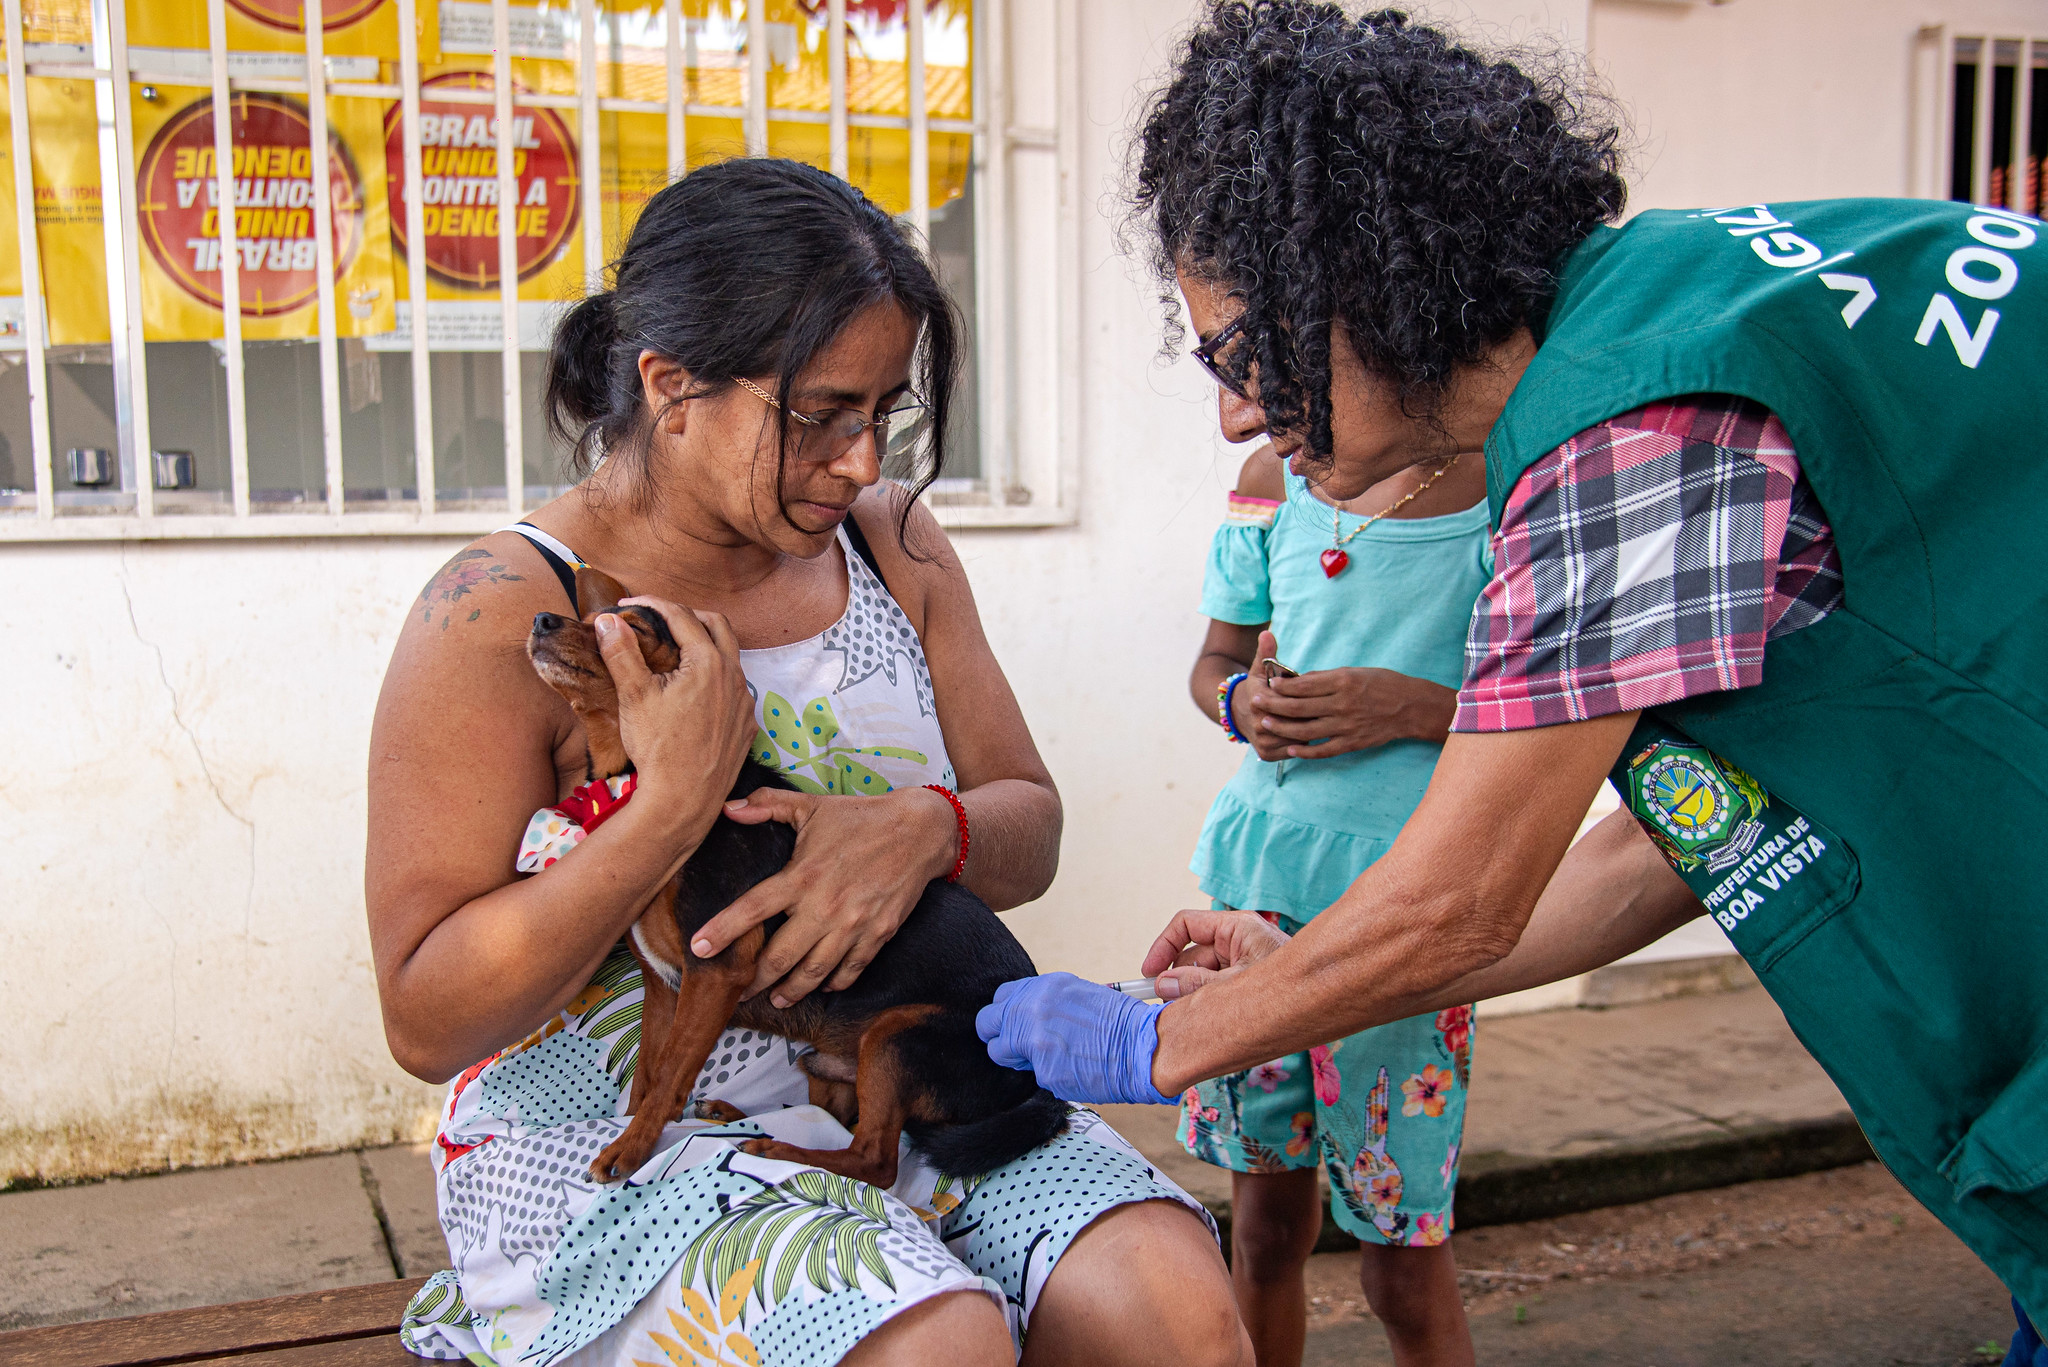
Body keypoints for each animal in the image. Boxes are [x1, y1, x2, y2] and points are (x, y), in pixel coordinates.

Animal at [524, 565, 1073, 1188]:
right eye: (587, 619)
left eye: (626, 629)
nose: (542, 619)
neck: (637, 781)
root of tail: (1040, 1085)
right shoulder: (664, 987)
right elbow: (650, 1074)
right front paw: (639, 1129)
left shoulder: (716, 966)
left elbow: (668, 1076)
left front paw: (631, 1147)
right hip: (833, 1064)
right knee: (835, 1122)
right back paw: (736, 1116)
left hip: (898, 1037)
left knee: (875, 1161)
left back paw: (776, 1149)